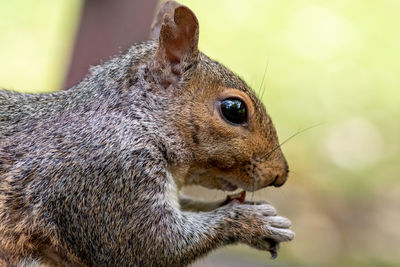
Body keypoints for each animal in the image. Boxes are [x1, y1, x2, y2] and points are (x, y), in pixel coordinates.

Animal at [0, 1, 294, 266]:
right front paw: (254, 222)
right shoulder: (105, 178)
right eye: (234, 110)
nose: (280, 175)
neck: (137, 121)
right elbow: (152, 244)